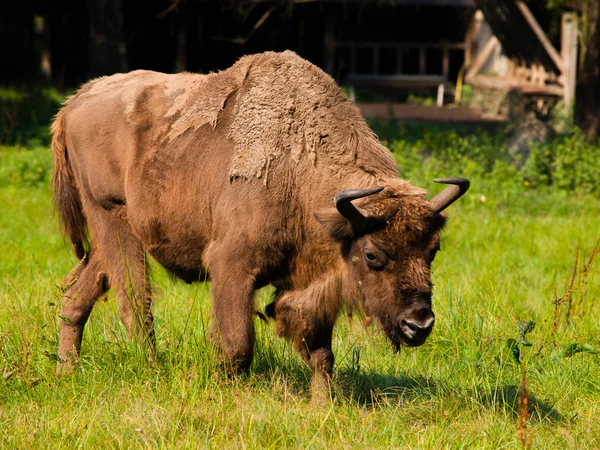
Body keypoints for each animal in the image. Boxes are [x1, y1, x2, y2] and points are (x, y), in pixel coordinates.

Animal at [51, 50, 468, 394]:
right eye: (372, 255)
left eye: (433, 251)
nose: (419, 325)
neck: (299, 165)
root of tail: (75, 103)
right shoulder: (231, 266)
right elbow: (237, 345)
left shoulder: (311, 280)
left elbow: (321, 351)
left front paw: (322, 404)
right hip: (112, 218)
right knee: (135, 301)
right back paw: (151, 369)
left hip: (114, 234)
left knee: (79, 294)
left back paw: (67, 368)